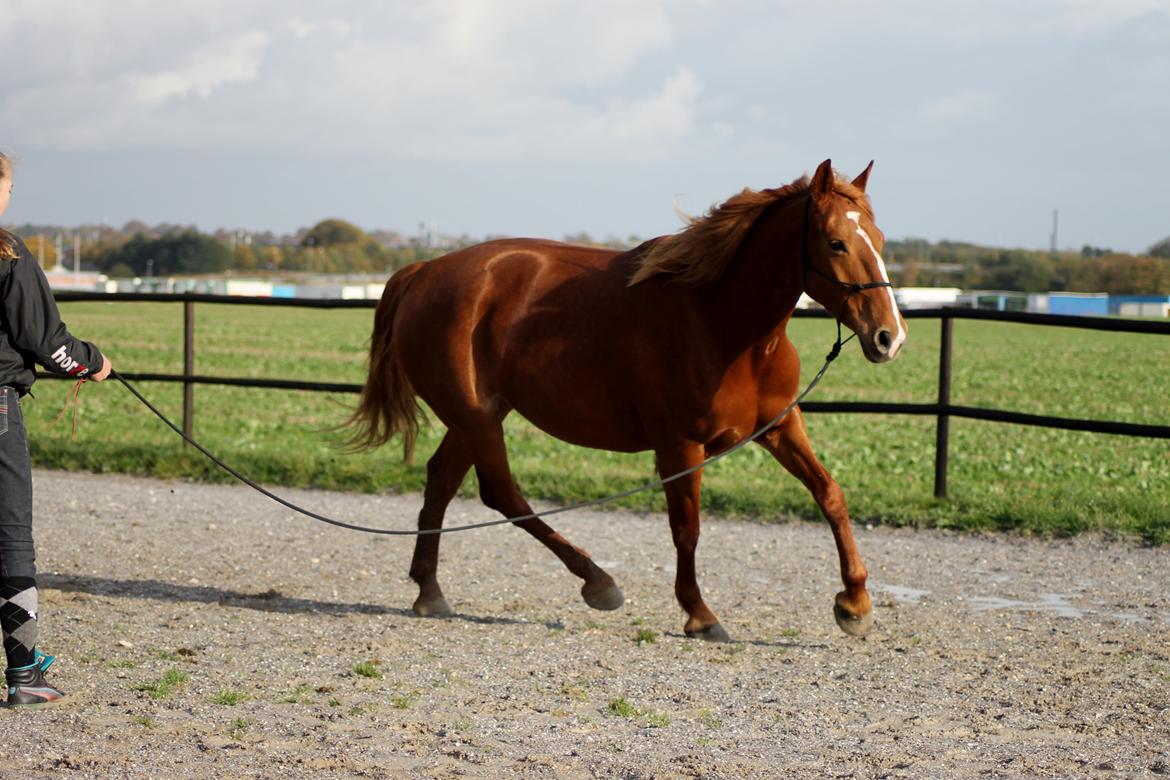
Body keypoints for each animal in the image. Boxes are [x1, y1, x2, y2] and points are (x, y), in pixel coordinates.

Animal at [351, 159, 907, 640]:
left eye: (879, 240)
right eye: (836, 243)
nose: (889, 337)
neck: (722, 324)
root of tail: (424, 270)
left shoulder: (779, 427)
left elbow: (830, 494)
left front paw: (855, 604)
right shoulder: (679, 445)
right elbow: (687, 528)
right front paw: (700, 615)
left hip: (479, 415)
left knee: (442, 480)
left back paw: (430, 591)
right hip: (476, 417)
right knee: (501, 493)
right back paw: (597, 582)